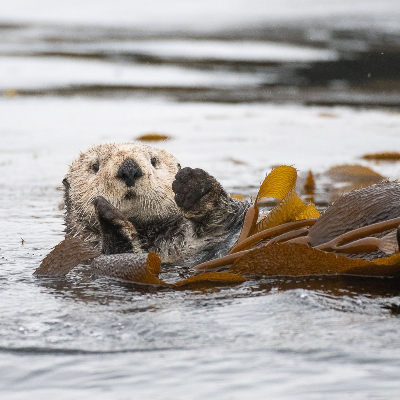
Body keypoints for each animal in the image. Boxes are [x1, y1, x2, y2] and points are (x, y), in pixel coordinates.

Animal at [61, 142, 250, 268]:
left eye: (153, 160)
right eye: (95, 166)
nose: (129, 169)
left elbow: (230, 216)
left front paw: (195, 187)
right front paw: (111, 220)